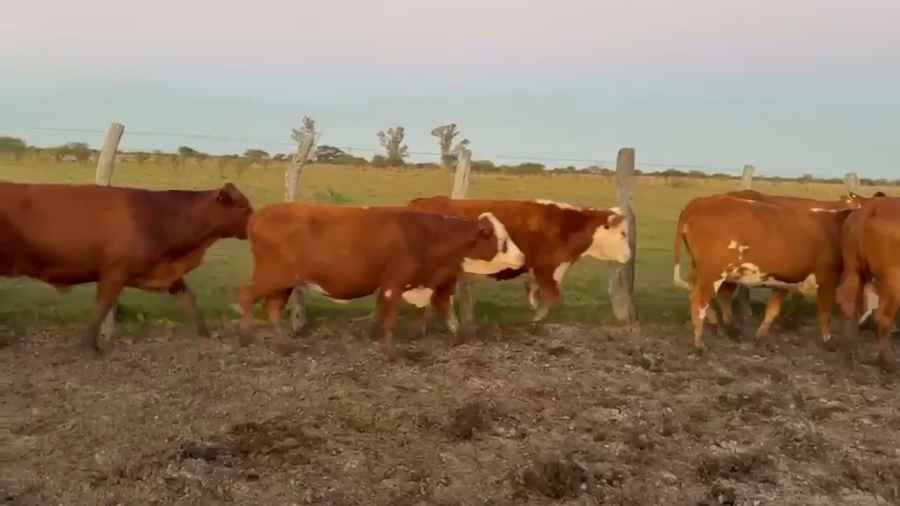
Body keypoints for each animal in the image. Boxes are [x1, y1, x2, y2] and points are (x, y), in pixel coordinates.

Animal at [0, 181, 254, 354]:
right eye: (243, 207)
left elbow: (189, 300)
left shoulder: (167, 271)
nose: (258, 219)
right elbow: (100, 308)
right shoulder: (114, 272)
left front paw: (206, 335)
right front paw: (90, 347)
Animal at [232, 203, 526, 358]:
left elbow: (390, 313)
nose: (522, 257)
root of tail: (260, 214)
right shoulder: (395, 284)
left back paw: (284, 345)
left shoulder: (398, 285)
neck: (425, 236)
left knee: (271, 308)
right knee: (246, 294)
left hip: (284, 283)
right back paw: (245, 336)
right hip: (273, 276)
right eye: (502, 240)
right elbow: (390, 317)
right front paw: (390, 350)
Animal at [405, 196, 631, 326]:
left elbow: (537, 294)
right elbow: (551, 297)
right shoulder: (546, 268)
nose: (629, 257)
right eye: (623, 233)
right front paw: (534, 320)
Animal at [672, 193, 856, 354]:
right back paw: (699, 343)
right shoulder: (827, 280)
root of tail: (700, 202)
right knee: (699, 300)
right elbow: (824, 313)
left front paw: (760, 336)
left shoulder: (785, 280)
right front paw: (827, 341)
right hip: (713, 272)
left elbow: (773, 309)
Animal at [836, 196, 900, 371]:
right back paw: (888, 361)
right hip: (893, 281)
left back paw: (850, 352)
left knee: (847, 302)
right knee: (883, 317)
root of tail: (871, 204)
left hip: (854, 269)